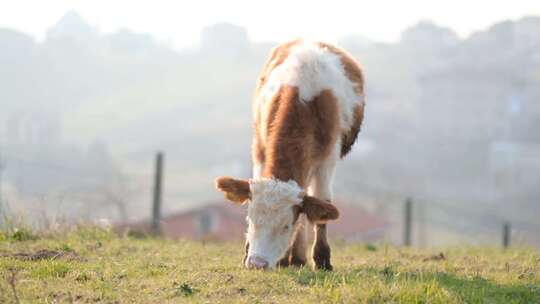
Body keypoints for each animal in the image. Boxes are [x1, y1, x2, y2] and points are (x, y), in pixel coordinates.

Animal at [214, 39, 362, 270]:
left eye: (285, 226)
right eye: (250, 219)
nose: (257, 263)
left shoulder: (328, 158)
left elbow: (320, 203)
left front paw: (321, 258)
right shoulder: (259, 148)